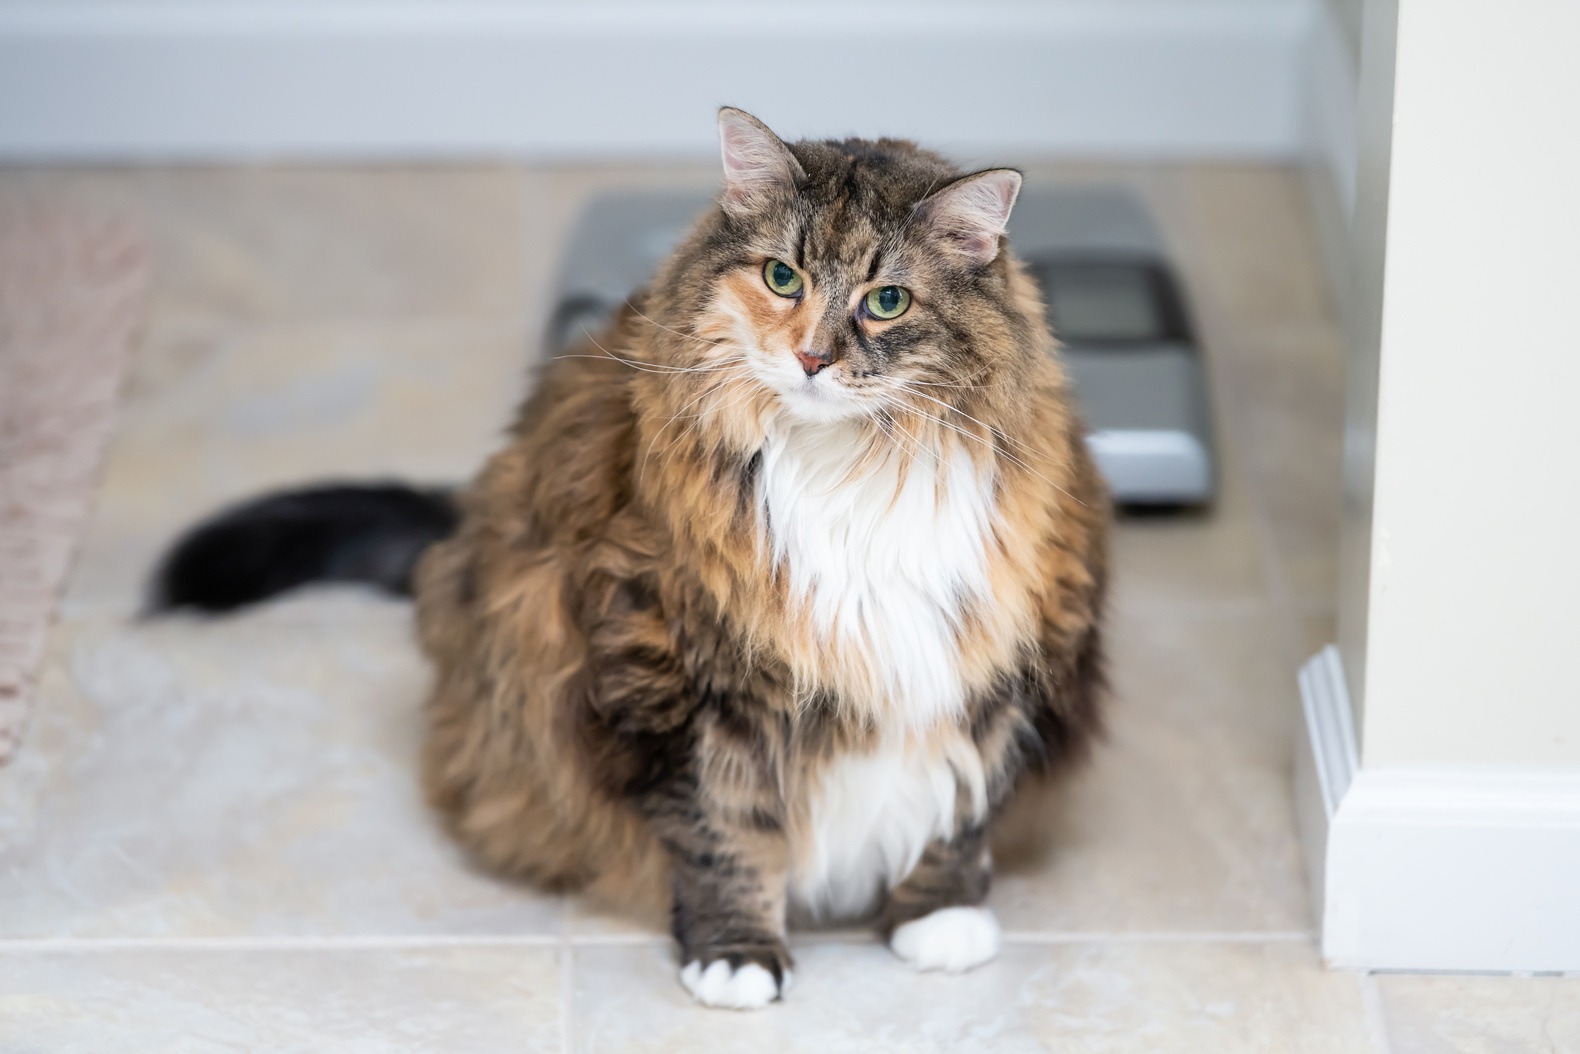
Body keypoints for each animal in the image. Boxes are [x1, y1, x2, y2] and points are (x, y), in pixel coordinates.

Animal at [154, 109, 1106, 1011]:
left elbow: (959, 802)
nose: (811, 358)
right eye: (782, 279)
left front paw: (940, 917)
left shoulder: (991, 646)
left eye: (888, 301)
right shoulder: (676, 667)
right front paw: (737, 957)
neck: (850, 469)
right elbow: (725, 833)